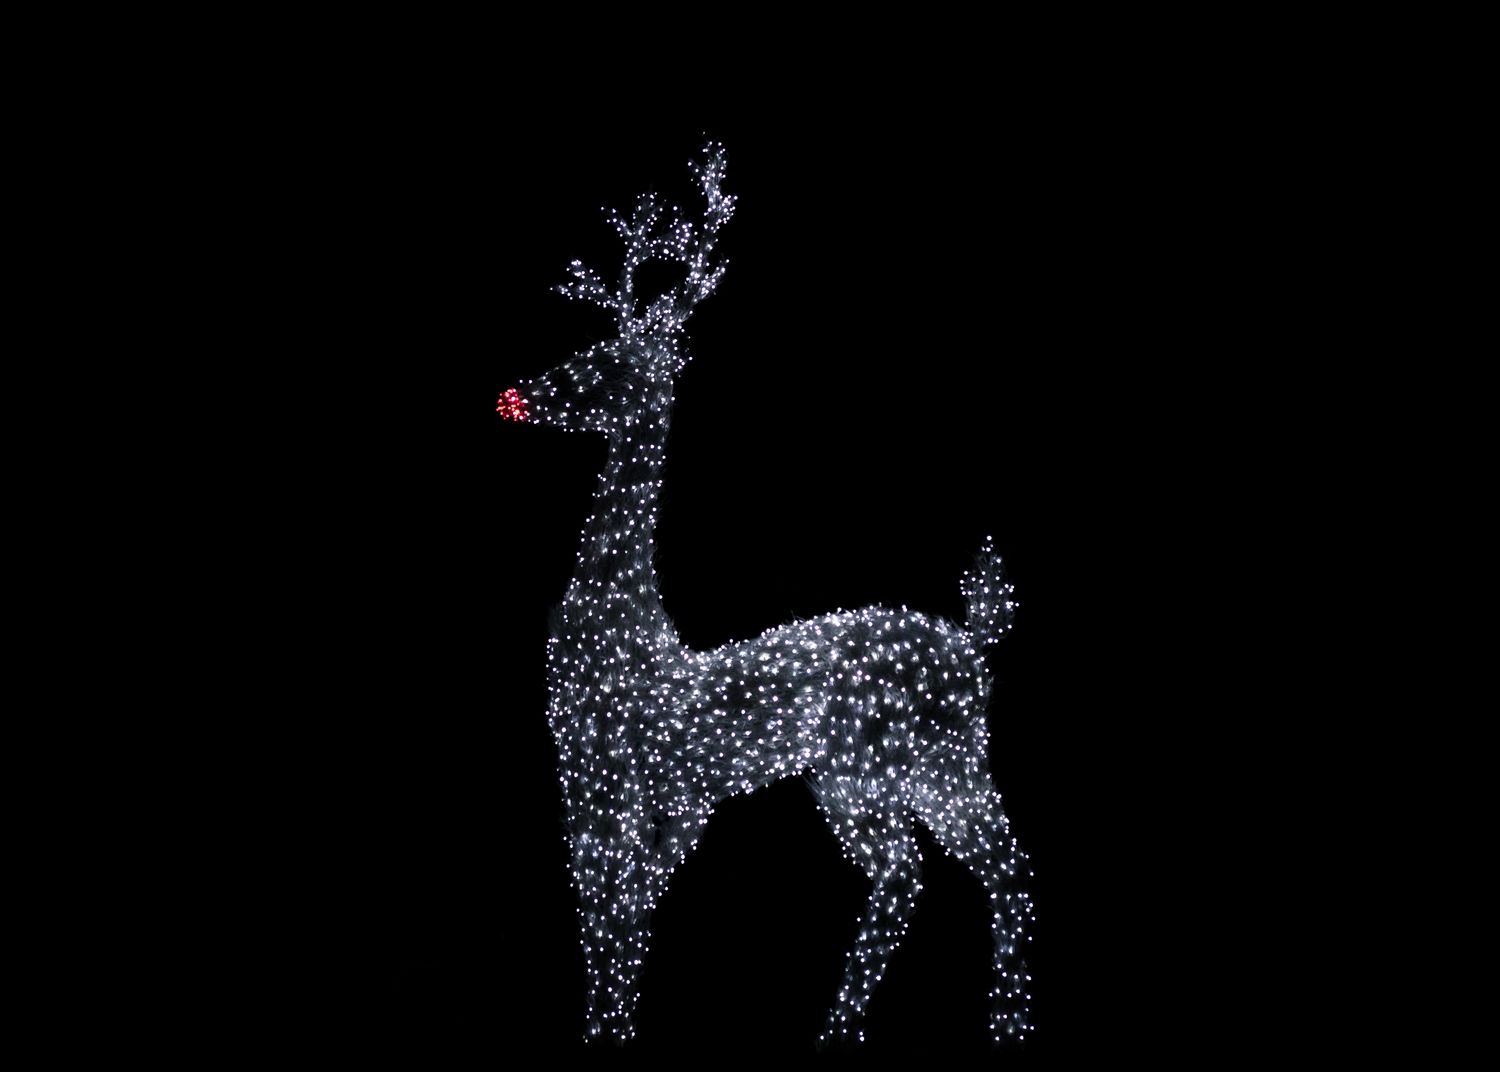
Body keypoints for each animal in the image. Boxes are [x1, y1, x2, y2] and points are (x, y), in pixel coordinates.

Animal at [497, 143, 1033, 1048]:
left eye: (605, 363)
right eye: (590, 345)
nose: (516, 394)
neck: (618, 620)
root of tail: (971, 639)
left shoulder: (615, 774)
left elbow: (613, 918)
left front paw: (609, 1025)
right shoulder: (624, 783)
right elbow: (612, 918)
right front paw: (608, 1024)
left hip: (919, 761)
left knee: (982, 866)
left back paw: (979, 1023)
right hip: (879, 776)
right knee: (933, 874)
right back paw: (880, 1027)